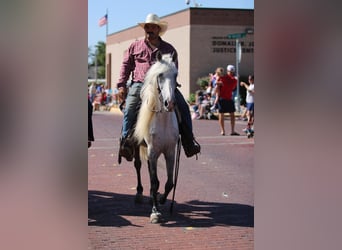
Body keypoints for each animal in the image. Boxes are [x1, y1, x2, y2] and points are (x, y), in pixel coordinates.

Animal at [134, 51, 180, 224]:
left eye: (176, 74)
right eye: (160, 75)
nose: (170, 103)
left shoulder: (170, 152)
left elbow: (169, 182)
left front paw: (161, 199)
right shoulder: (152, 152)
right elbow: (154, 181)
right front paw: (155, 212)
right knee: (138, 166)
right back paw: (139, 193)